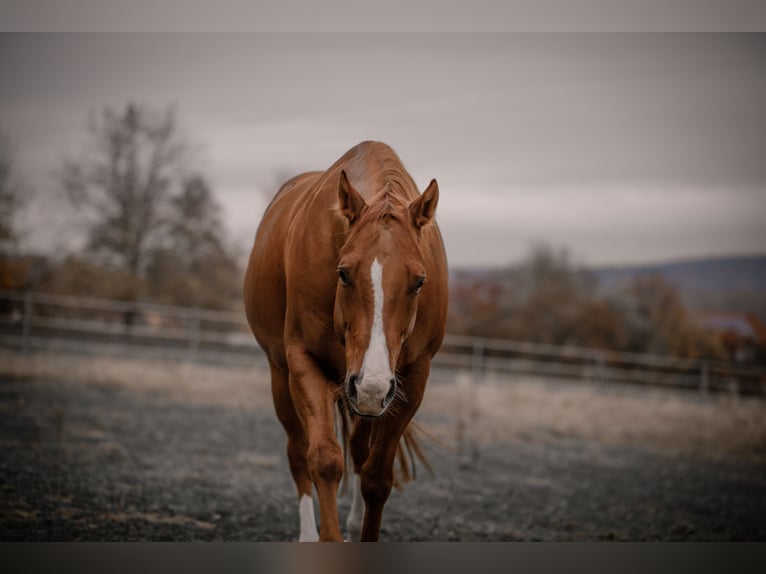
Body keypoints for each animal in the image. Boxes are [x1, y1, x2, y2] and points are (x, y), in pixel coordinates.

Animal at [246, 142, 450, 544]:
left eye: (420, 281)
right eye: (343, 273)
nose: (371, 385)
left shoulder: (411, 379)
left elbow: (376, 477)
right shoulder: (305, 362)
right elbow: (323, 460)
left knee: (357, 451)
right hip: (284, 375)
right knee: (298, 452)